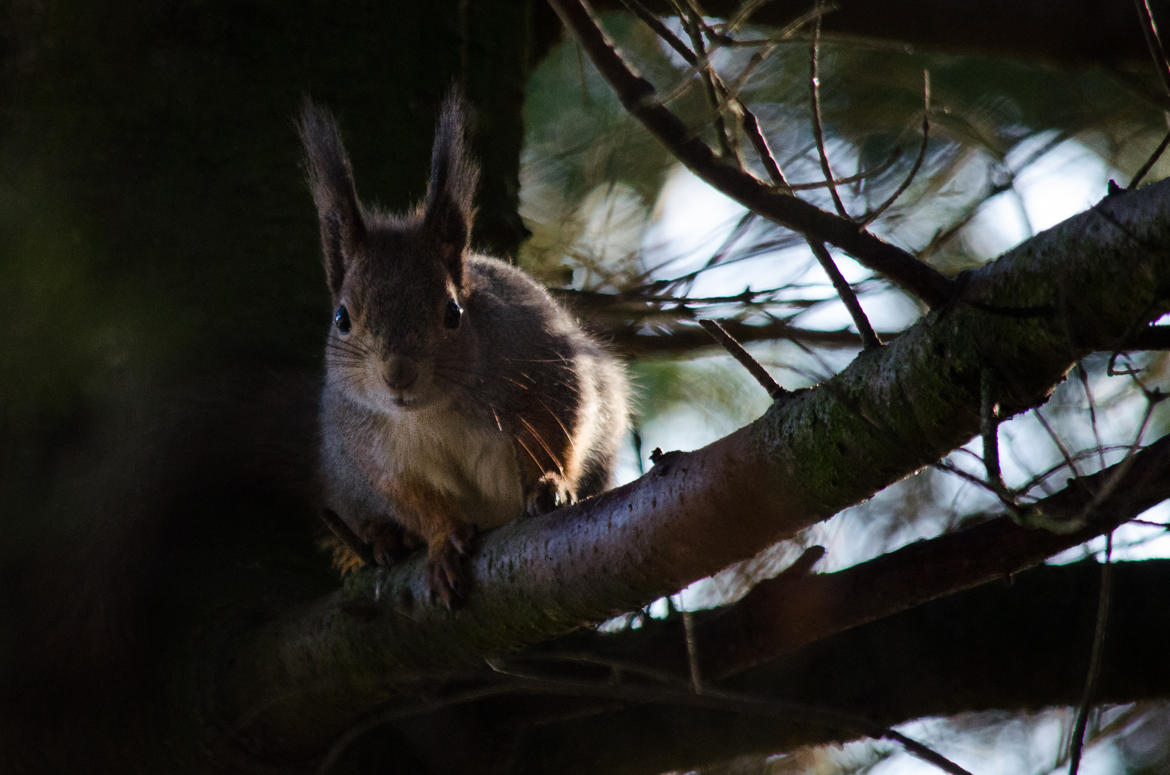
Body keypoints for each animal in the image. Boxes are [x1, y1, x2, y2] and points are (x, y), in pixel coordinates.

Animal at [299, 94, 631, 608]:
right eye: (341, 319)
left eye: (453, 312)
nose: (398, 374)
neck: (431, 412)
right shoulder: (371, 453)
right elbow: (411, 498)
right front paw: (440, 542)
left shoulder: (543, 365)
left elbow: (560, 425)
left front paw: (549, 482)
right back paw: (386, 539)